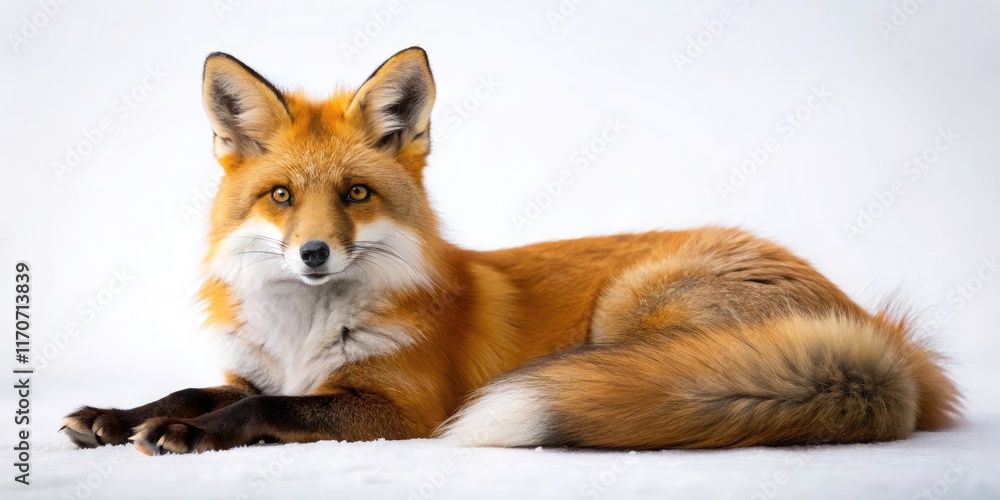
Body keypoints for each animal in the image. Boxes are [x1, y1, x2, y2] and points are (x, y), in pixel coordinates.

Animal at [62, 47, 960, 455]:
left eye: (355, 195)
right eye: (282, 197)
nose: (314, 253)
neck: (303, 333)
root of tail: (890, 346)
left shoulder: (398, 410)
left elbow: (265, 410)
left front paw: (191, 437)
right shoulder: (254, 369)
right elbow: (191, 390)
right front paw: (118, 416)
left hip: (632, 309)